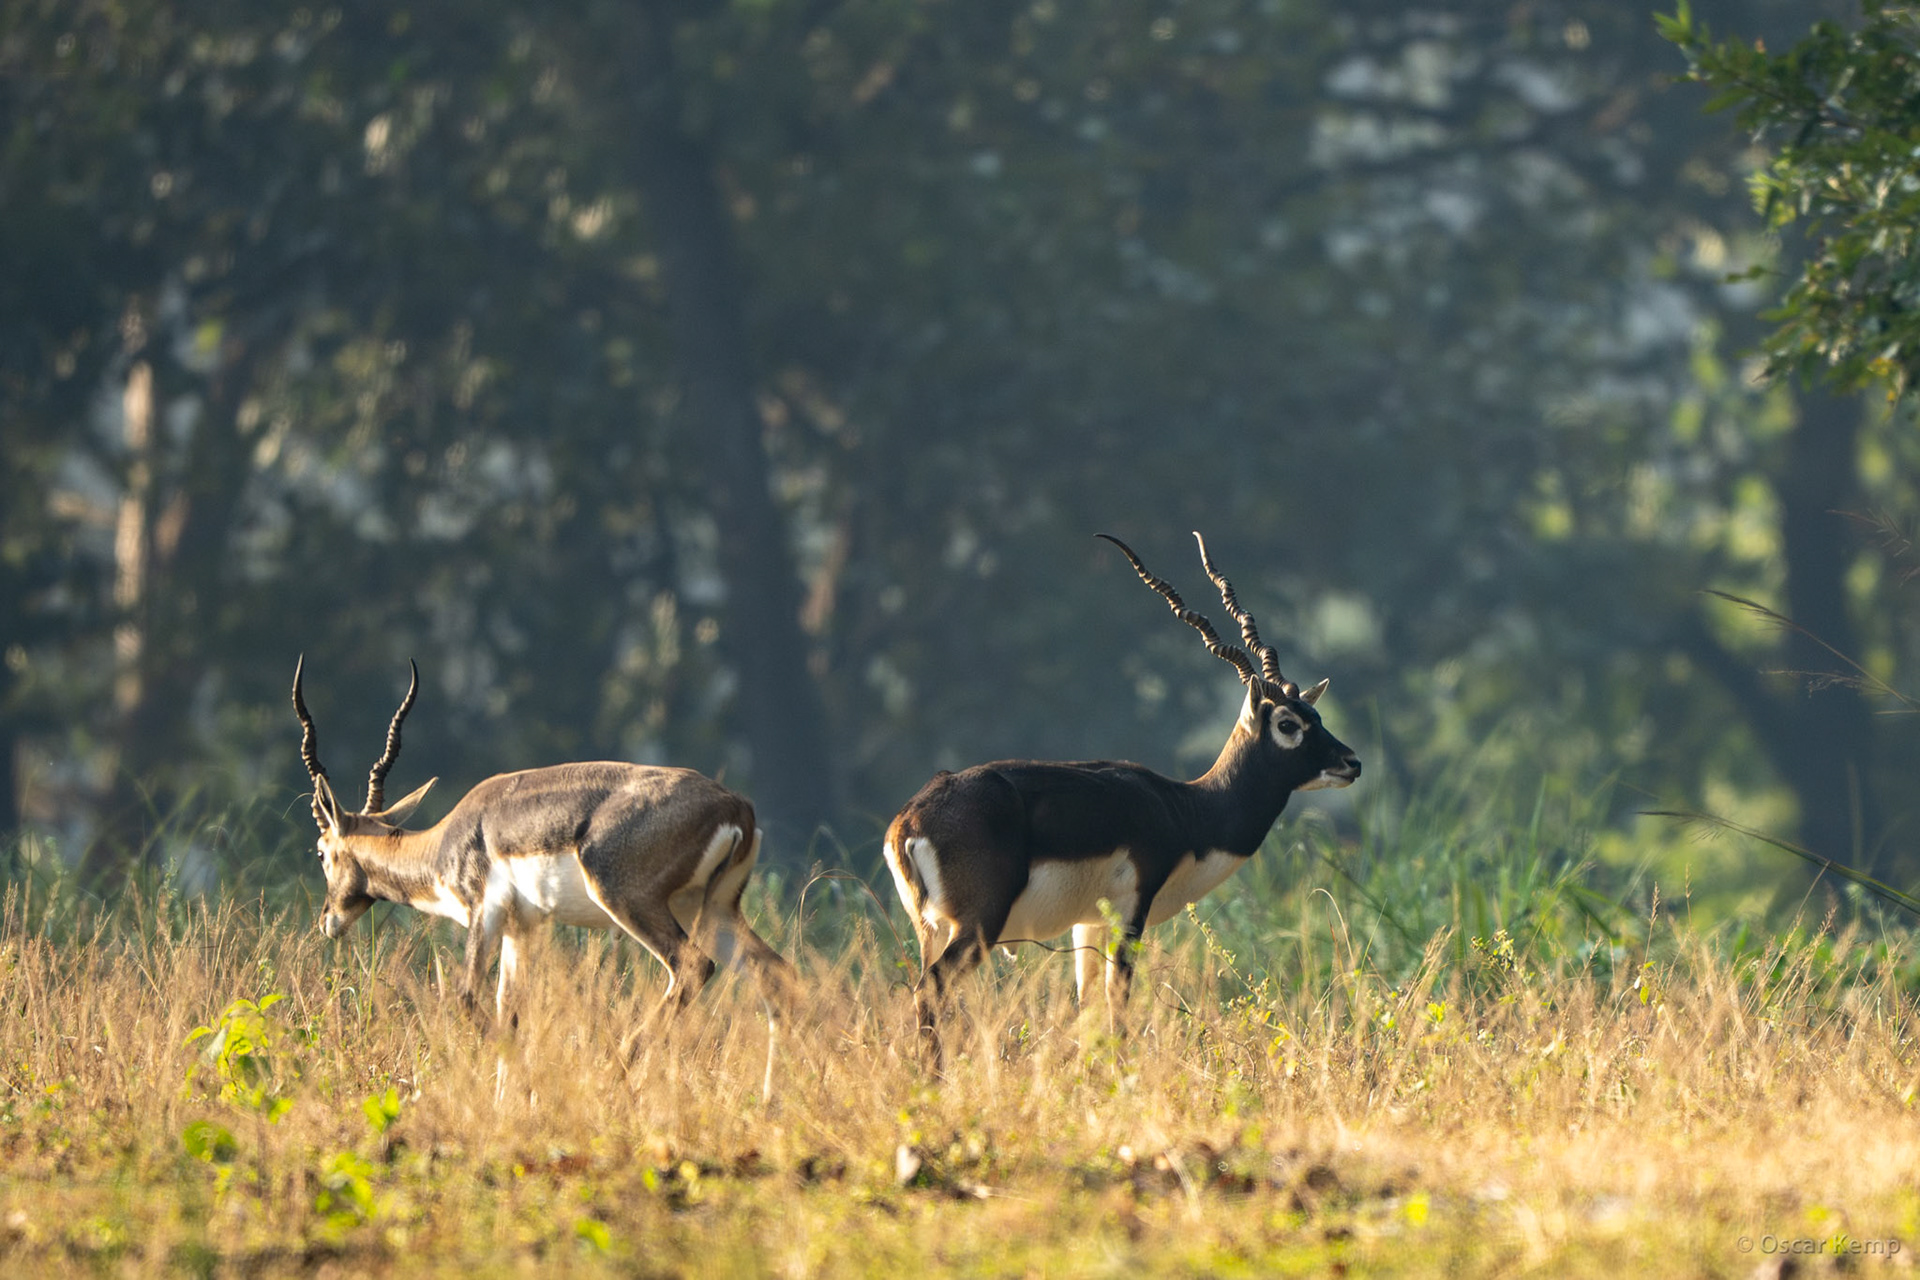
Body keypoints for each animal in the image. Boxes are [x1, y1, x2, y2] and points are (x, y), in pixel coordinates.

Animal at [292, 658, 791, 1027]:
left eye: (320, 851)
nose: (327, 920)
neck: (448, 841)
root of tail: (735, 806)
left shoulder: (485, 913)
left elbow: (468, 999)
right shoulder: (520, 930)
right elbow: (509, 1011)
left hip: (632, 902)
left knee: (693, 969)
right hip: (710, 909)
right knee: (776, 976)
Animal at [883, 533, 1360, 1062]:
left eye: (1314, 715)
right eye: (1287, 724)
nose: (1351, 763)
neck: (1186, 810)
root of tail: (909, 822)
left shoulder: (1087, 923)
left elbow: (1087, 1005)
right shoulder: (1132, 909)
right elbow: (1117, 1002)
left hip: (930, 929)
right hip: (977, 925)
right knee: (931, 988)